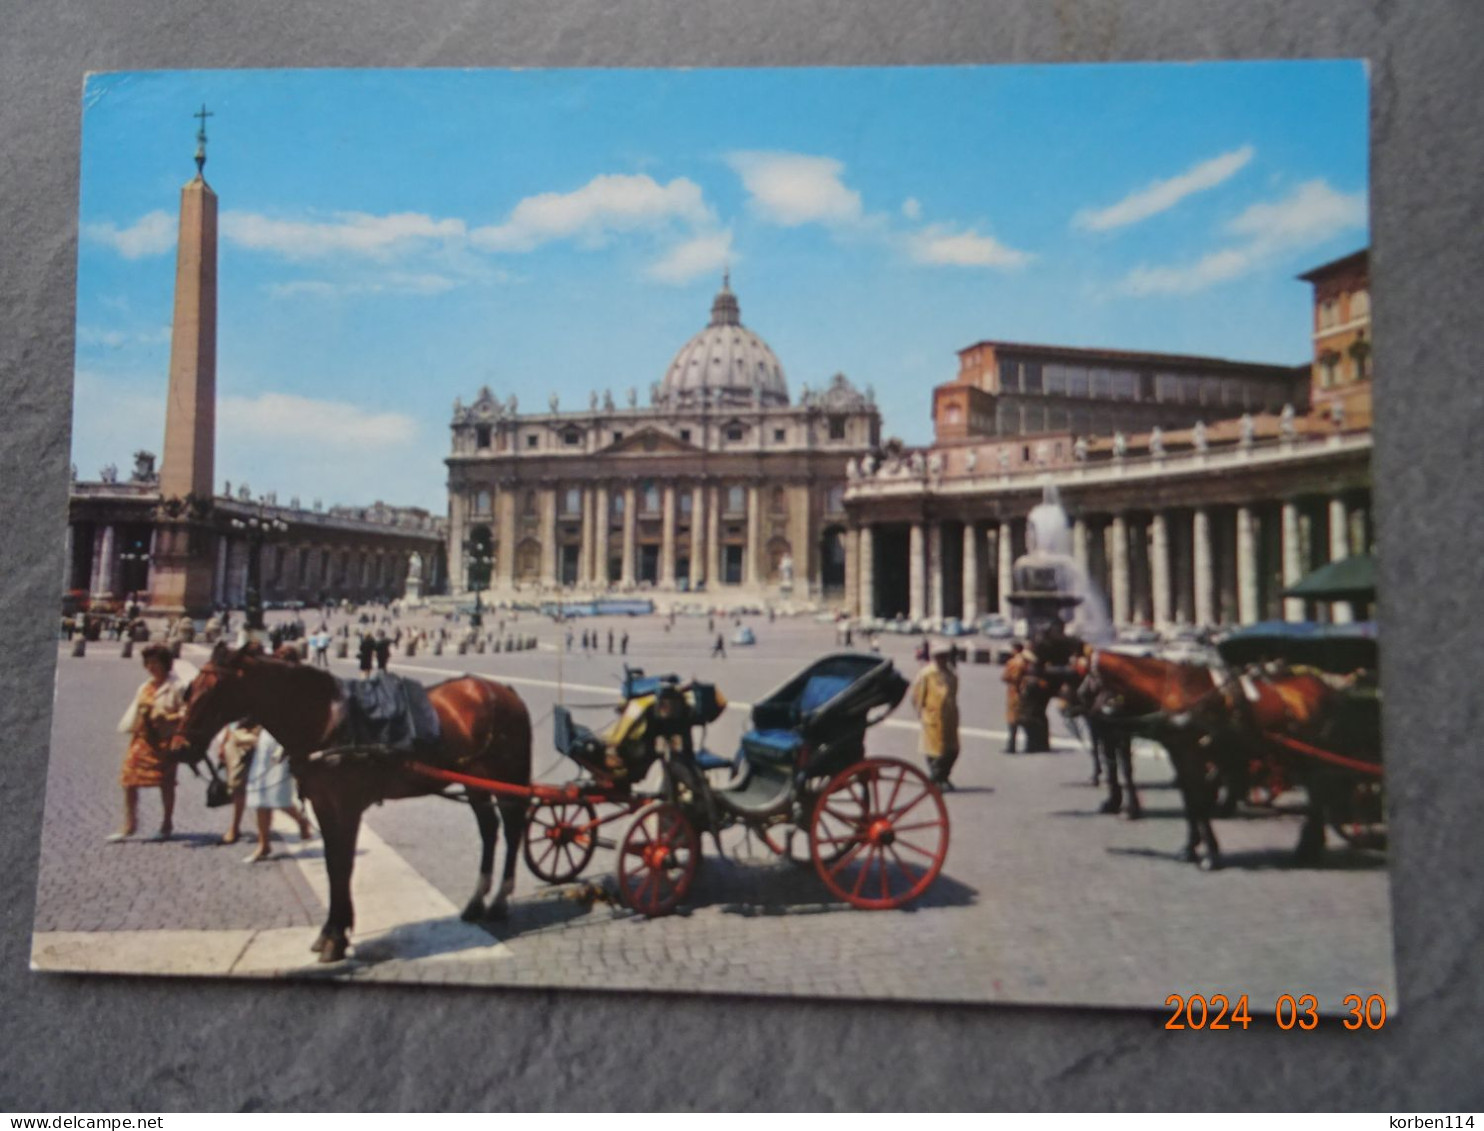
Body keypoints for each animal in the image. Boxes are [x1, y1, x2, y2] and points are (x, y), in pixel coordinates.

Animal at [175, 638, 531, 955]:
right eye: (190, 689)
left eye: (214, 693)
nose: (180, 747)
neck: (323, 718)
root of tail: (506, 690)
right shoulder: (322, 803)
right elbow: (333, 863)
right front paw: (332, 933)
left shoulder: (347, 806)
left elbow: (342, 864)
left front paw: (336, 937)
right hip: (477, 784)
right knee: (489, 830)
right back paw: (476, 903)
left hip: (507, 779)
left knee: (513, 830)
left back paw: (499, 902)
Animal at [1086, 647, 1371, 866]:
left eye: (1085, 676)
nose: (1095, 715)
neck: (1175, 691)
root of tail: (1328, 688)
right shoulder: (1180, 755)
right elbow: (1190, 802)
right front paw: (1190, 849)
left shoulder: (1192, 755)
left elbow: (1199, 802)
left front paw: (1210, 855)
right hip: (1303, 757)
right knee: (1319, 798)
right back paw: (1309, 847)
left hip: (1316, 756)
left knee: (1320, 796)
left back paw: (1307, 847)